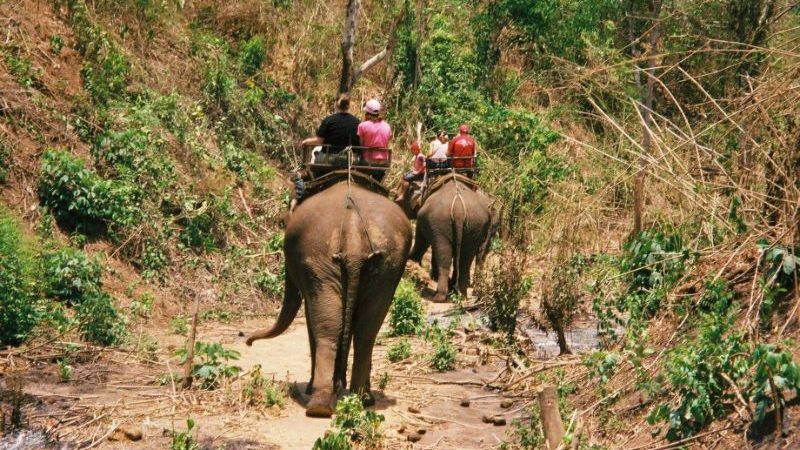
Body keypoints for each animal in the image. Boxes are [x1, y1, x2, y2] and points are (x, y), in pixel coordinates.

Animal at [245, 180, 412, 418]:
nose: (247, 342)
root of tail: (353, 234)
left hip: (318, 258)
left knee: (329, 327)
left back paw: (320, 405)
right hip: (387, 265)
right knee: (367, 330)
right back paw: (360, 398)